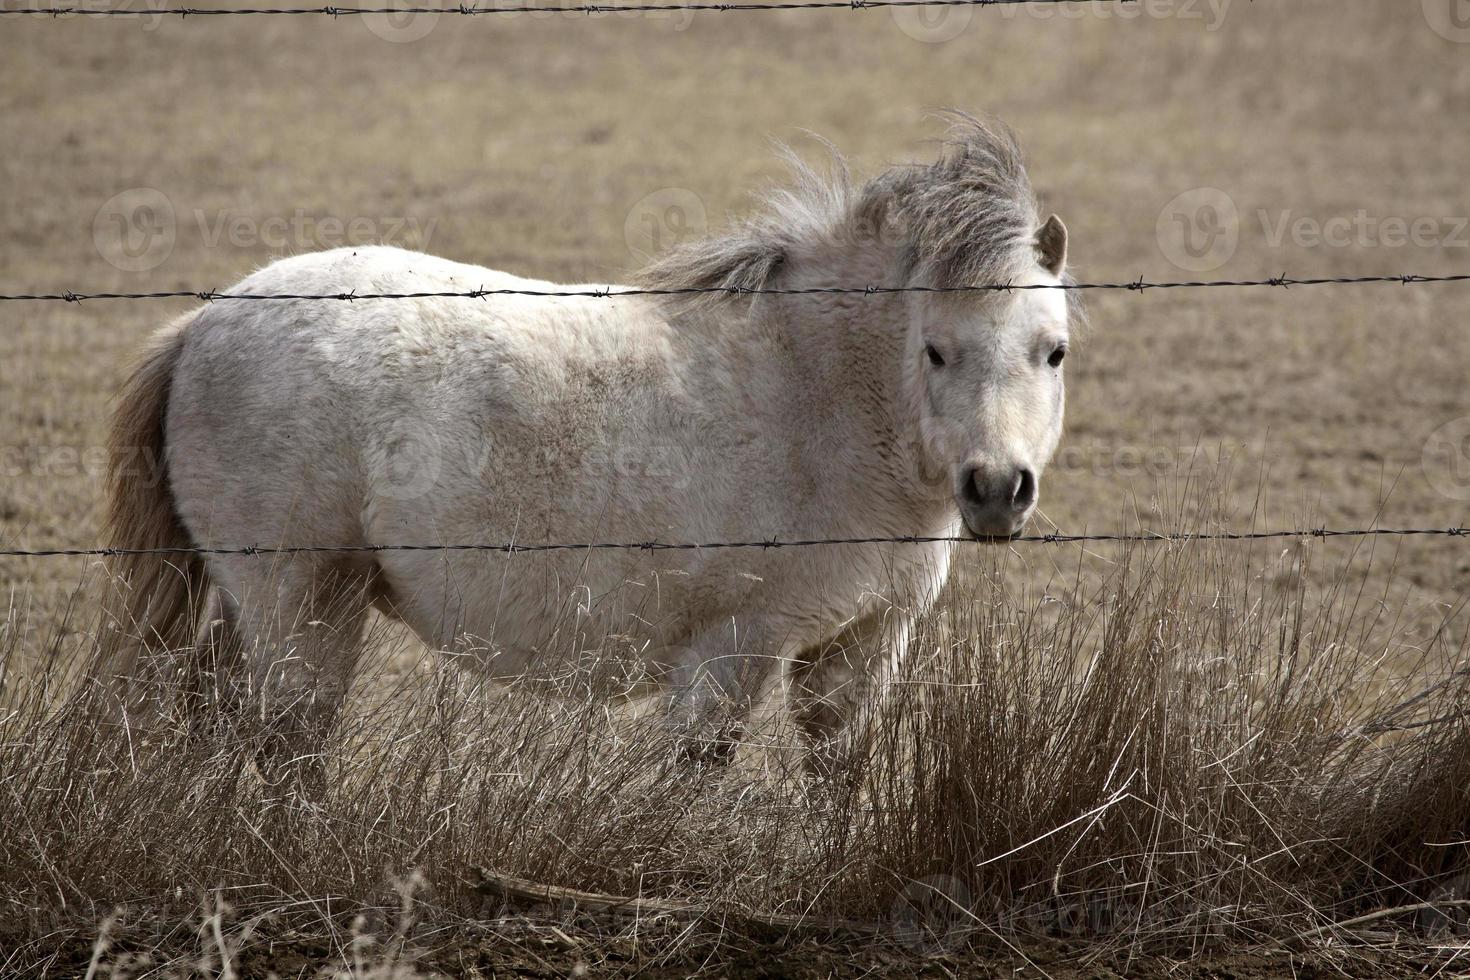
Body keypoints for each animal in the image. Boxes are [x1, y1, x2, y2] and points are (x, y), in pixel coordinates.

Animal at [100, 116, 1070, 775]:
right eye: (935, 350)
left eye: (1053, 350)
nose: (996, 489)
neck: (817, 390)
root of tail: (203, 323)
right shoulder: (729, 651)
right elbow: (691, 782)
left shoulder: (860, 650)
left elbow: (837, 780)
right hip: (301, 608)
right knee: (282, 751)